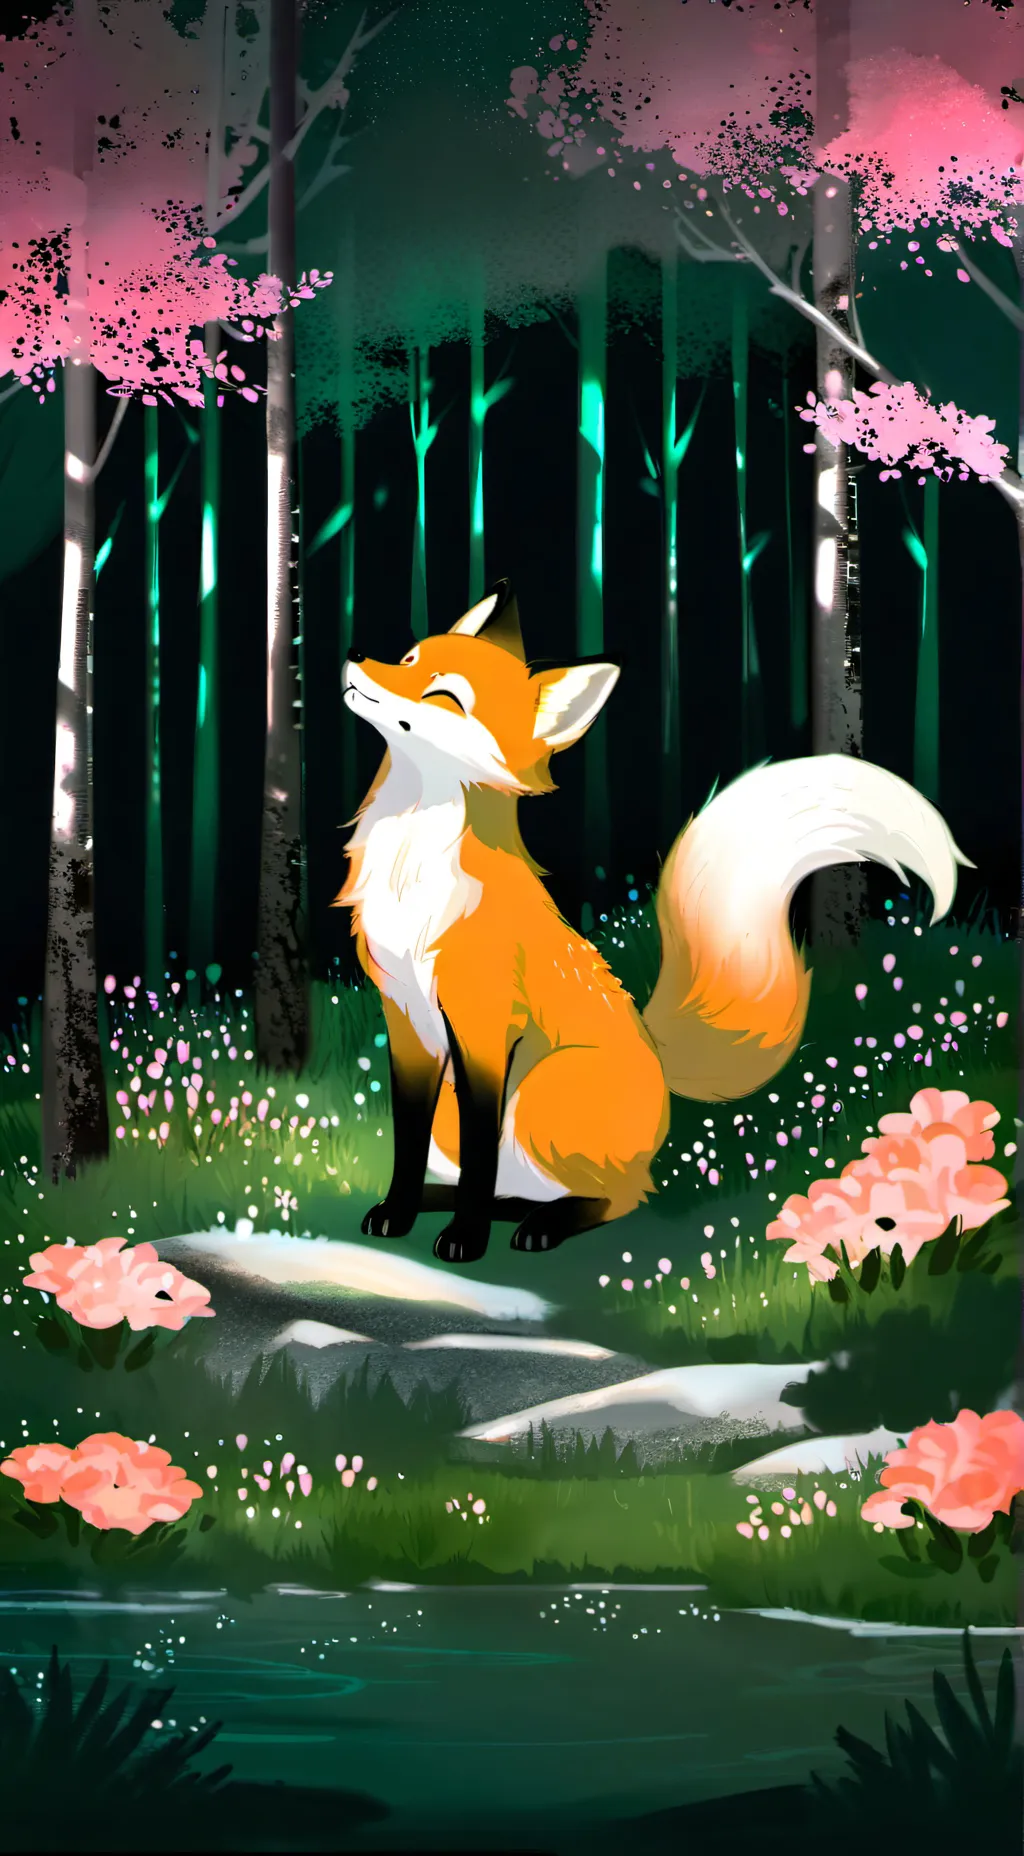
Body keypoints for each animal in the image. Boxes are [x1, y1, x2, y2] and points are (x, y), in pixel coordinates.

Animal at [337, 578, 968, 1266]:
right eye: (406, 659)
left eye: (444, 697)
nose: (354, 655)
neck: (411, 869)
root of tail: (656, 1053)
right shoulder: (407, 1021)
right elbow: (407, 1142)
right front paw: (399, 1211)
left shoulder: (480, 1027)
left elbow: (479, 1160)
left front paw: (465, 1240)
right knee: (522, 1188)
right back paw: (465, 1205)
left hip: (542, 1093)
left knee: (617, 1197)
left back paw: (542, 1224)